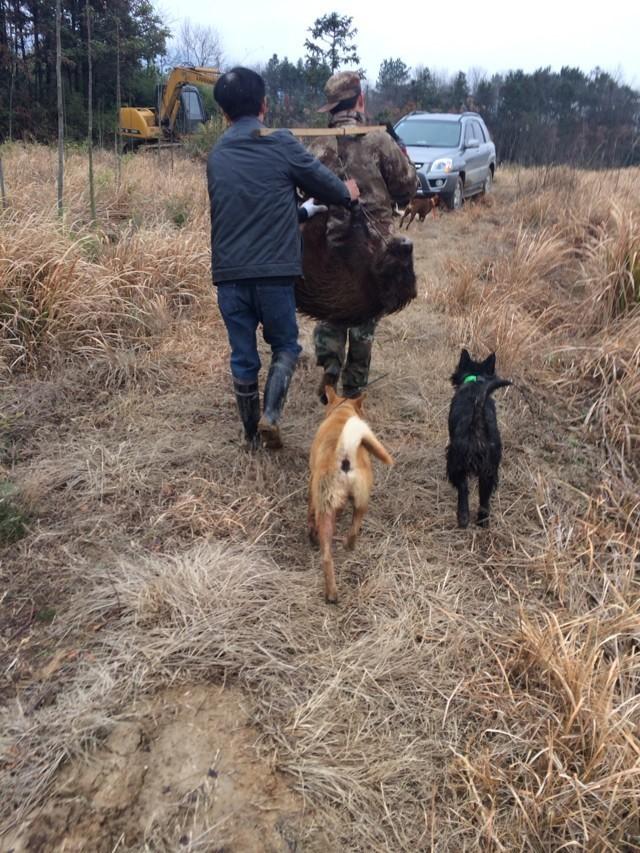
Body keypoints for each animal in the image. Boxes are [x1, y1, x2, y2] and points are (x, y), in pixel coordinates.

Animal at [308, 390, 392, 604]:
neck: (342, 412)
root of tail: (345, 455)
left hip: (325, 508)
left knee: (326, 556)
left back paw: (331, 594)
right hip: (362, 500)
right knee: (354, 530)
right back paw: (348, 546)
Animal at [444, 348, 510, 524]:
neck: (475, 381)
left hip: (456, 460)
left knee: (463, 488)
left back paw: (463, 518)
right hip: (490, 470)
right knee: (484, 498)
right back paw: (482, 521)